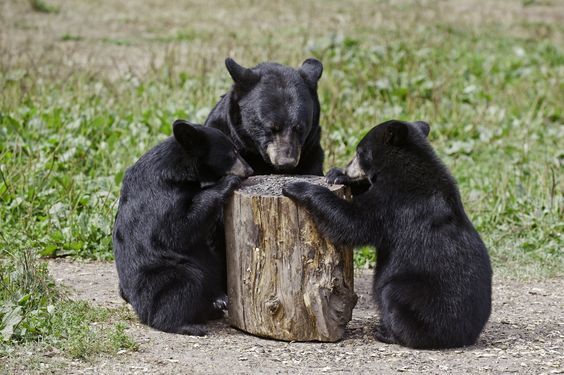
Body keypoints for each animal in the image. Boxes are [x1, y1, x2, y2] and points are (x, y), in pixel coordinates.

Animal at [113, 119, 253, 334]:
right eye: (233, 153)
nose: (250, 170)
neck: (177, 169)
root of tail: (135, 304)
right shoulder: (161, 196)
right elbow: (177, 230)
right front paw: (227, 182)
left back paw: (216, 305)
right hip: (156, 279)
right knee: (184, 282)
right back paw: (187, 324)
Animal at [284, 119, 492, 350]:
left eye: (359, 151)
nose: (347, 167)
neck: (404, 169)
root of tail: (465, 337)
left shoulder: (396, 203)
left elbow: (353, 221)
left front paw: (298, 187)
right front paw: (337, 175)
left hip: (420, 297)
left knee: (393, 298)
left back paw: (387, 333)